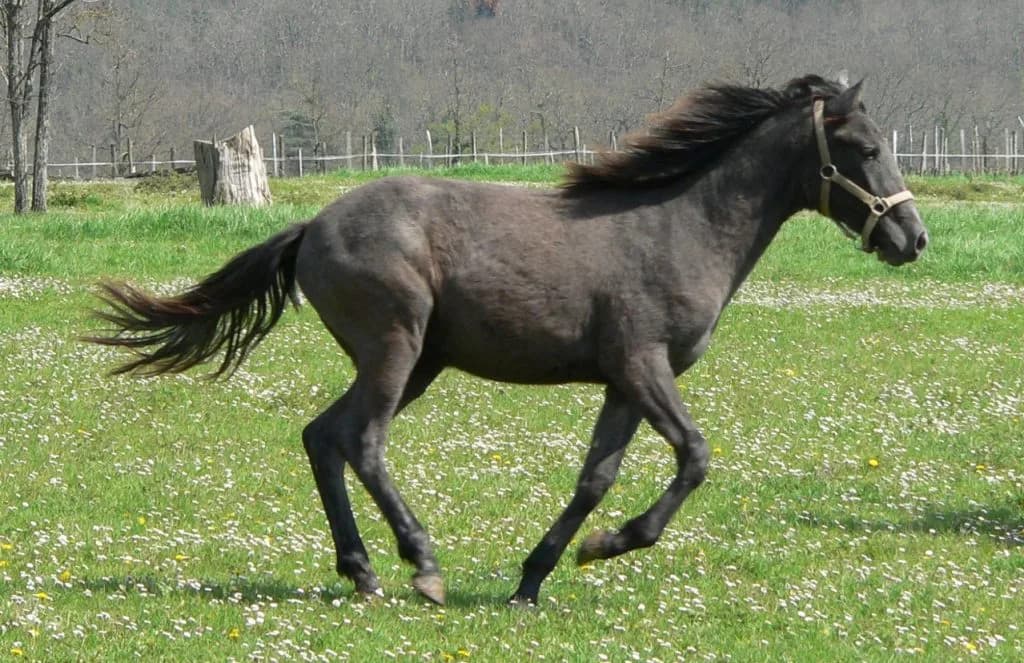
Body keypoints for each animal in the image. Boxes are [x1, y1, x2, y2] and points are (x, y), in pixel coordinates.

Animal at [88, 75, 927, 606]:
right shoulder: (644, 365)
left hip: (416, 362)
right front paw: (613, 543)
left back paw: (362, 571)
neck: (681, 226)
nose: (912, 237)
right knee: (361, 440)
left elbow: (595, 478)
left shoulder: (621, 383)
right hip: (396, 350)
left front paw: (538, 575)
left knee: (321, 436)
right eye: (863, 146)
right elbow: (694, 456)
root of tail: (311, 227)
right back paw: (421, 564)